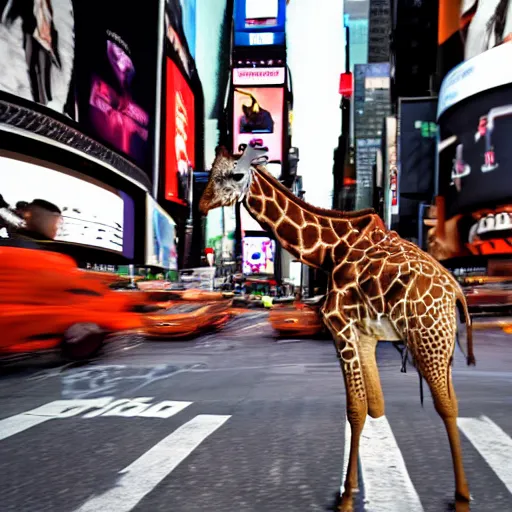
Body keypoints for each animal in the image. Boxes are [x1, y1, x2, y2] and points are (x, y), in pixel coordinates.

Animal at [199, 144, 476, 512]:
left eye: (236, 174)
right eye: (210, 170)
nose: (202, 204)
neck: (329, 251)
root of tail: (456, 292)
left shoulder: (339, 324)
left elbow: (355, 409)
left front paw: (345, 497)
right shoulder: (365, 335)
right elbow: (373, 406)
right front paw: (353, 487)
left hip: (428, 339)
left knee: (447, 406)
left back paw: (461, 497)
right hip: (440, 345)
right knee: (453, 401)